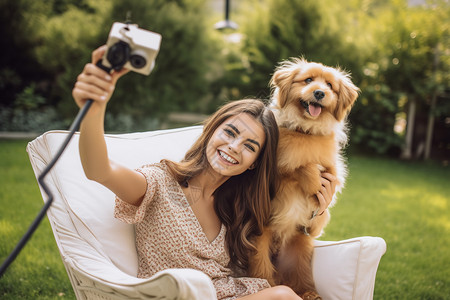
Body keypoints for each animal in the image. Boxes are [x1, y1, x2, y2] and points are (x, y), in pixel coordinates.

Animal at [248, 57, 360, 298]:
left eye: (329, 86)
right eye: (308, 80)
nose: (319, 92)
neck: (306, 131)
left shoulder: (332, 170)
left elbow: (326, 181)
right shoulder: (275, 173)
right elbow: (298, 166)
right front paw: (313, 182)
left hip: (298, 249)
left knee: (298, 279)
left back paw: (309, 293)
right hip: (260, 246)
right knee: (266, 274)